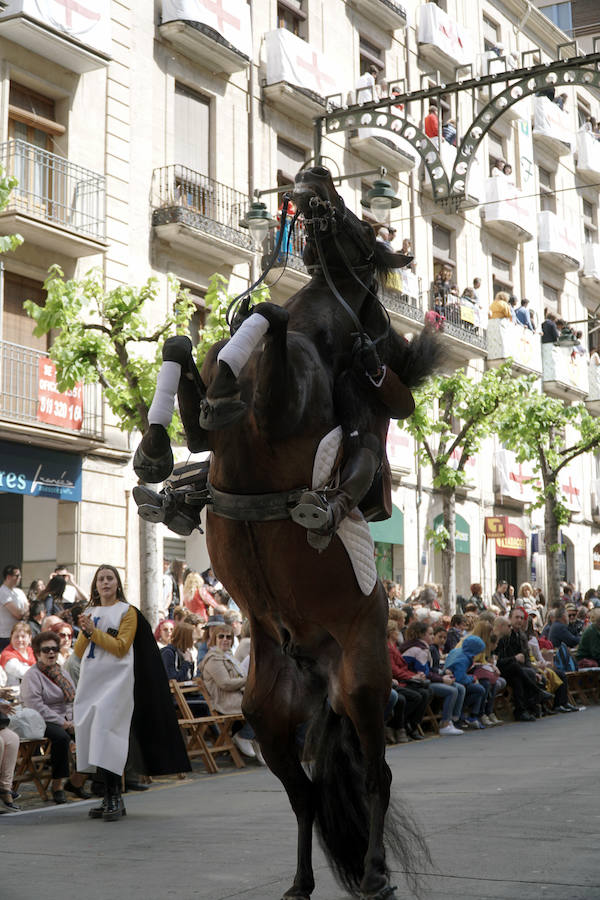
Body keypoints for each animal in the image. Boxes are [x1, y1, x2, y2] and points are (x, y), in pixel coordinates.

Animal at [135, 169, 436, 900]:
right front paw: (154, 452)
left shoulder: (282, 408)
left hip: (363, 688)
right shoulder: (208, 434)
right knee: (304, 795)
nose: (311, 177)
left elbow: (264, 322)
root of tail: (315, 664)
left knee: (376, 777)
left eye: (358, 219)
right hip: (270, 718)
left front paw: (228, 375)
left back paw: (376, 873)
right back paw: (300, 881)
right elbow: (187, 350)